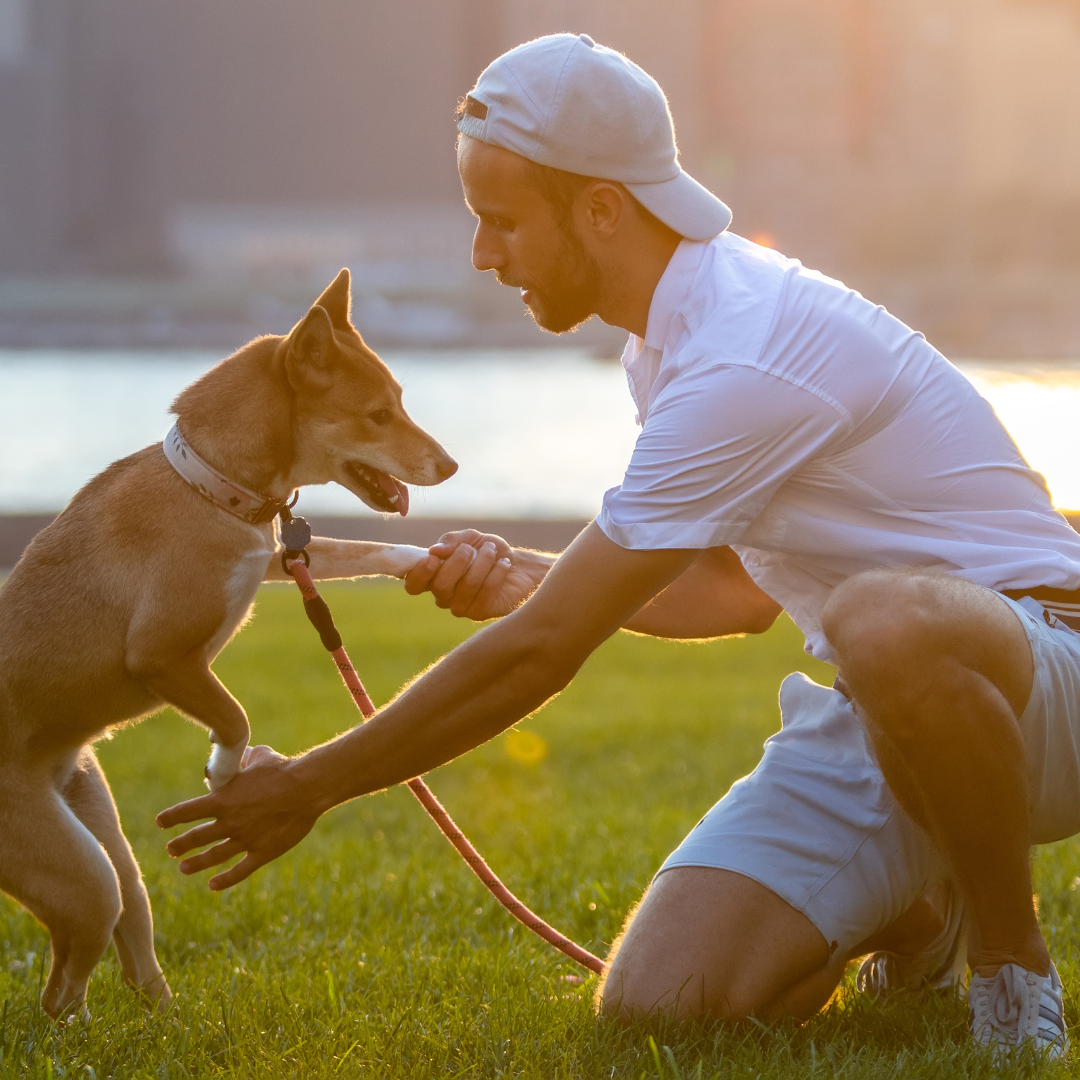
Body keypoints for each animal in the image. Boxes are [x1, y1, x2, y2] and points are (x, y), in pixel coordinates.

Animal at [0, 272, 455, 1019]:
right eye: (378, 415)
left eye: (397, 406)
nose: (450, 464)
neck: (211, 486)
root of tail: (53, 774)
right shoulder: (161, 656)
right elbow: (233, 713)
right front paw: (224, 771)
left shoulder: (276, 556)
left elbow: (362, 549)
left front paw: (435, 562)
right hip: (81, 878)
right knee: (63, 987)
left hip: (103, 842)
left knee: (123, 954)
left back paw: (168, 1022)